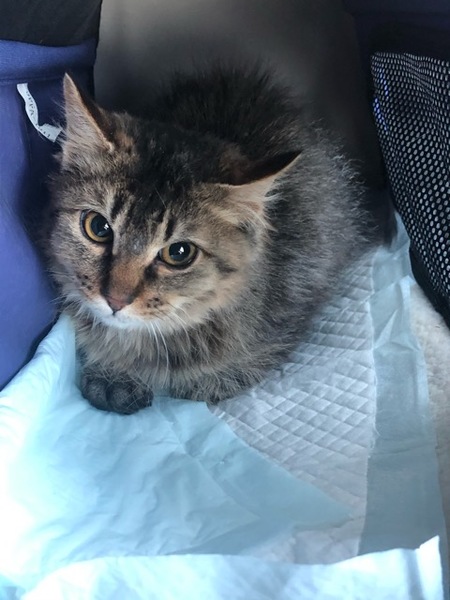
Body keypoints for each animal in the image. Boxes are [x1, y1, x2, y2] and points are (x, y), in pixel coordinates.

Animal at [46, 65, 375, 414]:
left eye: (179, 252)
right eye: (98, 227)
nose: (115, 301)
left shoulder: (282, 325)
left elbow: (216, 379)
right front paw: (113, 373)